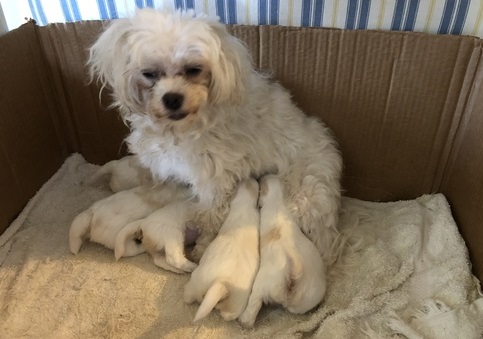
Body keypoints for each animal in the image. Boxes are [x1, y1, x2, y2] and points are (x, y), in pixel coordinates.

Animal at [88, 8, 344, 270]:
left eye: (193, 69)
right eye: (149, 73)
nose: (172, 98)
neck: (180, 129)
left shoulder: (213, 179)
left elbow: (209, 216)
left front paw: (202, 246)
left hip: (307, 194)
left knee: (326, 240)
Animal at [184, 179, 260, 322]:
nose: (249, 178)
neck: (244, 204)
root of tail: (221, 284)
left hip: (196, 283)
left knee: (189, 296)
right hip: (236, 303)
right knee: (227, 314)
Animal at [239, 175, 328, 326]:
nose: (262, 175)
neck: (276, 201)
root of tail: (293, 273)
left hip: (260, 286)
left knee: (252, 308)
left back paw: (243, 321)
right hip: (311, 295)